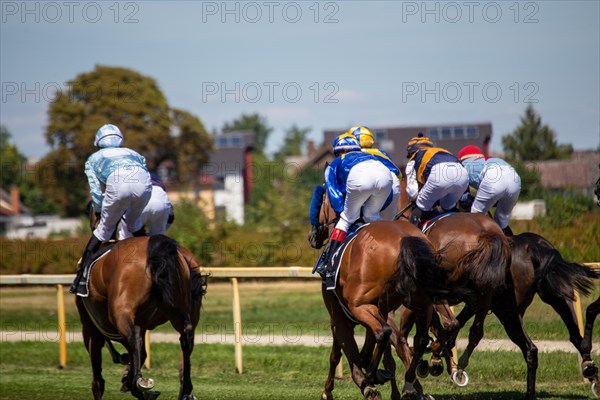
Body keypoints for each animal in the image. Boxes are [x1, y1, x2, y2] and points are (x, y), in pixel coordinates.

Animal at [75, 206, 206, 396]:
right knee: (186, 335)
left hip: (120, 312)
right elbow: (140, 353)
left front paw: (129, 379)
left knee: (133, 337)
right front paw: (128, 375)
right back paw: (184, 389)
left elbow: (98, 380)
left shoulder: (91, 329)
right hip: (181, 309)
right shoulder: (141, 323)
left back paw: (138, 385)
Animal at [318, 188, 464, 400]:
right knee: (422, 338)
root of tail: (405, 238)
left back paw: (377, 377)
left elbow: (340, 355)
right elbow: (366, 351)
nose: (313, 236)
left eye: (320, 201)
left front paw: (339, 388)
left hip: (362, 306)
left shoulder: (339, 318)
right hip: (422, 304)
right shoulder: (377, 311)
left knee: (385, 333)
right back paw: (411, 379)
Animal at [394, 176, 544, 400]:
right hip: (498, 303)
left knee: (453, 325)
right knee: (519, 345)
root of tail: (489, 235)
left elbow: (427, 330)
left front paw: (429, 360)